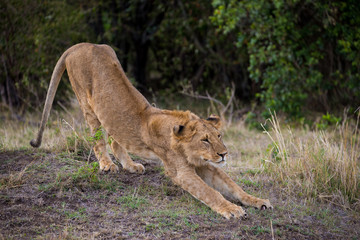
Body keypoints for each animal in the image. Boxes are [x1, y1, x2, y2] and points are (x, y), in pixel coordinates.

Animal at [31, 42, 272, 218]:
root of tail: (79, 45)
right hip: (87, 104)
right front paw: (232, 209)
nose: (224, 154)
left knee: (115, 140)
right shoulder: (181, 172)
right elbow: (210, 192)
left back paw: (131, 166)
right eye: (205, 140)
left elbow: (233, 187)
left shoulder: (206, 166)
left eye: (219, 136)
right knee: (99, 140)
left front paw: (258, 201)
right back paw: (107, 165)